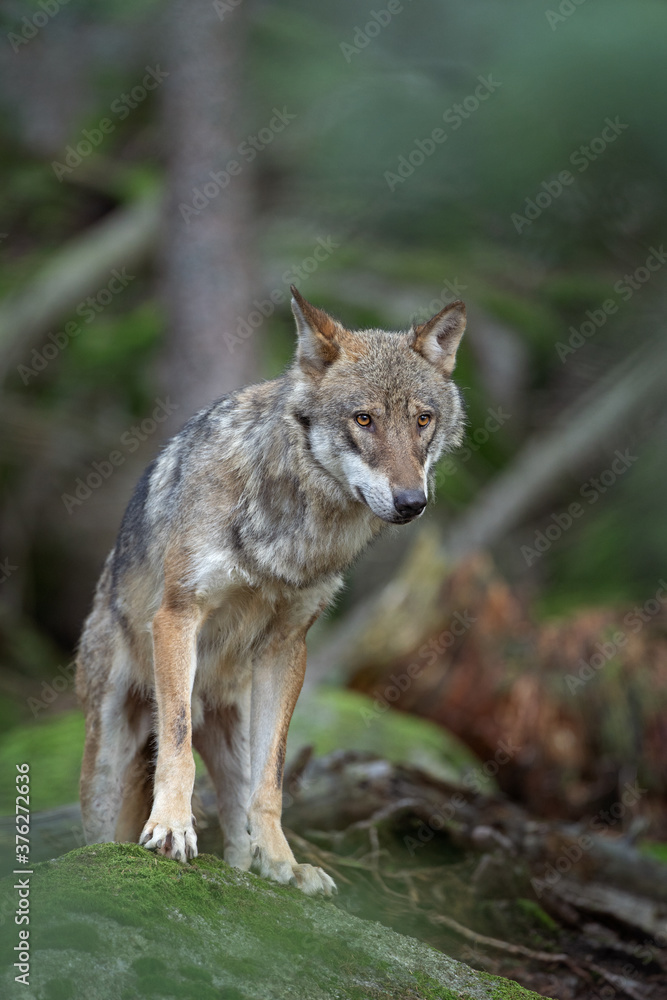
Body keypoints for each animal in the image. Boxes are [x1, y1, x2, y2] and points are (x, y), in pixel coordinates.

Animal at [75, 288, 468, 900]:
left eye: (423, 420)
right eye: (364, 419)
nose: (412, 502)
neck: (294, 526)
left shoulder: (287, 647)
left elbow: (273, 779)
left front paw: (282, 861)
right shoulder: (178, 616)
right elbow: (177, 750)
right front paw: (170, 831)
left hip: (235, 724)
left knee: (238, 823)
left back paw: (261, 868)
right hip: (111, 748)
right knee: (106, 818)